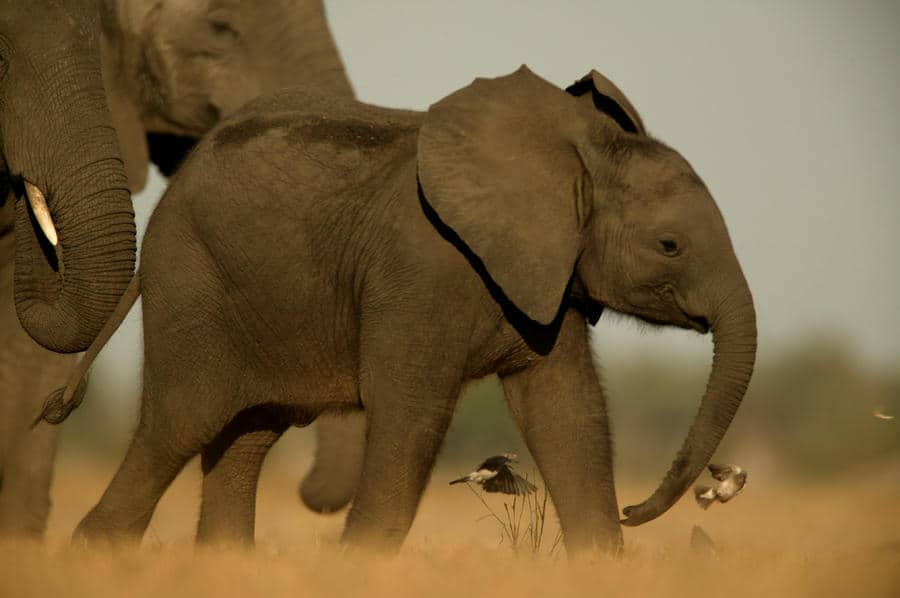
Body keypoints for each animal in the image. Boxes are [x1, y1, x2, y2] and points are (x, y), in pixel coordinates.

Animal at [47, 67, 752, 556]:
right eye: (669, 245)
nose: (638, 507)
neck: (575, 156)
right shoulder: (422, 270)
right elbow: (412, 410)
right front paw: (358, 565)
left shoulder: (548, 278)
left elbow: (566, 411)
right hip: (192, 285)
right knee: (179, 424)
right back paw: (95, 552)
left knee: (248, 436)